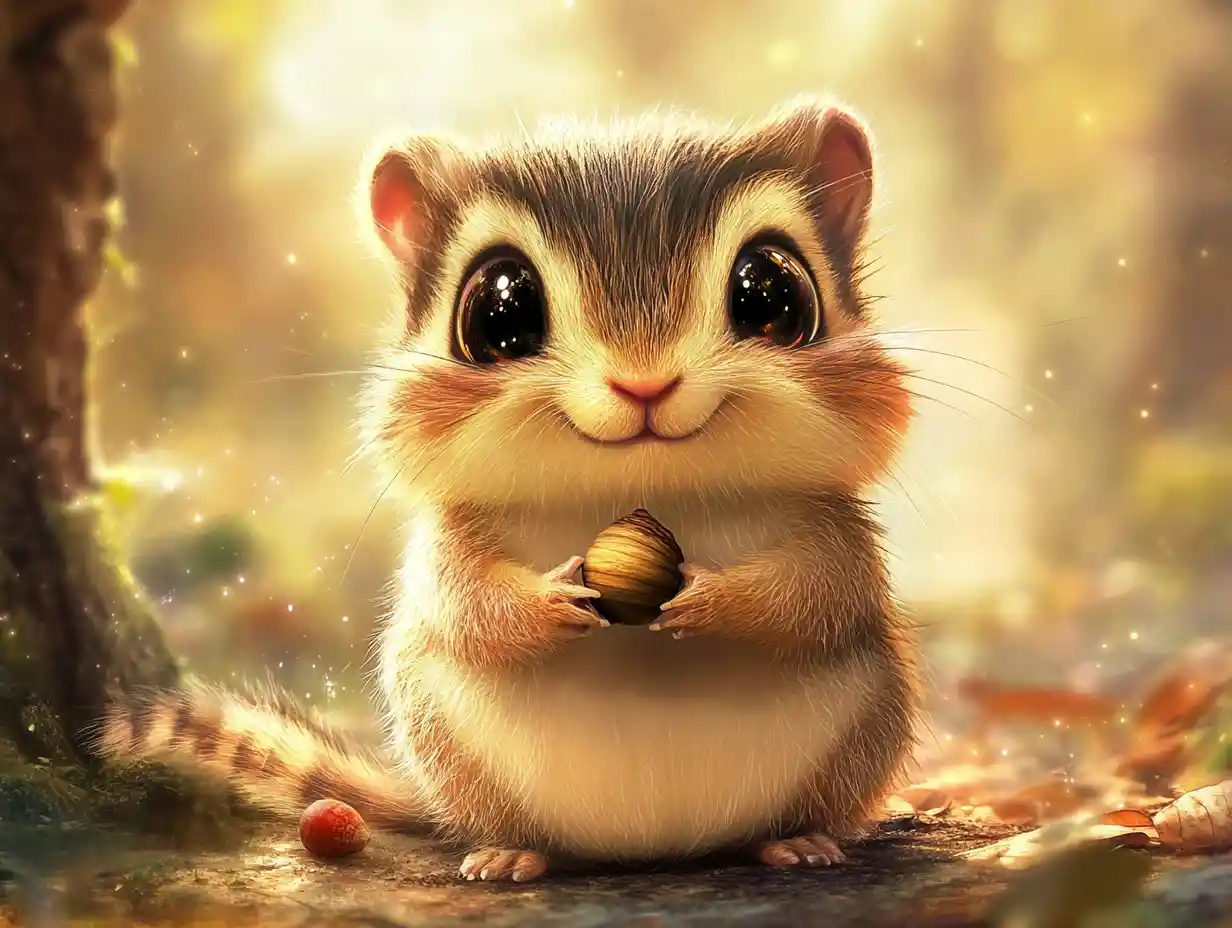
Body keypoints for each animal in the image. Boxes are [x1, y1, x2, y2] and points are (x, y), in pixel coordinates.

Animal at [95, 96, 921, 883]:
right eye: (500, 311)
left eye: (773, 294)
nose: (644, 381)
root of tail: (653, 848)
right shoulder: (445, 543)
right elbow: (466, 605)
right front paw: (548, 602)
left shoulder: (837, 530)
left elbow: (818, 594)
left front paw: (715, 598)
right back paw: (511, 853)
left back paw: (795, 840)